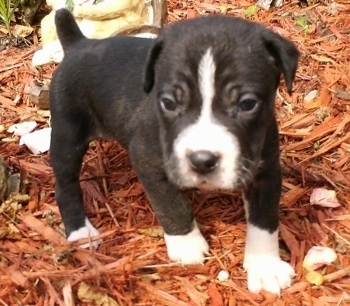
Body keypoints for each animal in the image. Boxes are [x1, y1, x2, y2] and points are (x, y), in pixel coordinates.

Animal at [50, 7, 300, 294]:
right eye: (168, 103)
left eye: (248, 104)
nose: (202, 160)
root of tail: (79, 44)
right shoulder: (147, 160)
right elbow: (171, 204)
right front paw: (187, 244)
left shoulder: (265, 169)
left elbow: (264, 219)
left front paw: (265, 265)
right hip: (67, 135)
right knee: (65, 185)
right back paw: (80, 232)